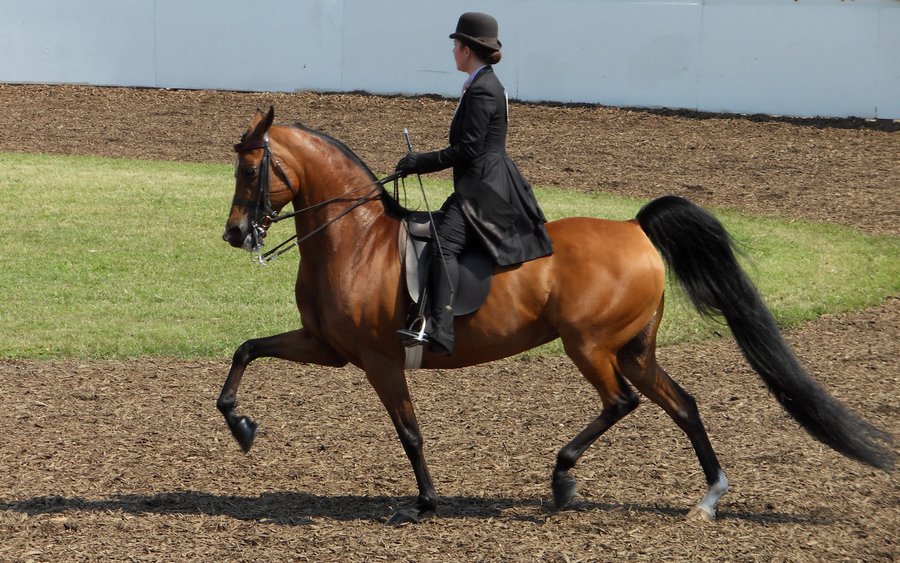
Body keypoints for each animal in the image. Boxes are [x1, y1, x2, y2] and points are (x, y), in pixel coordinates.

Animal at [218, 108, 892, 528]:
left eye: (250, 171)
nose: (233, 234)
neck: (355, 240)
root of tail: (634, 229)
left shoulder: (380, 360)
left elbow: (409, 431)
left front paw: (425, 503)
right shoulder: (327, 346)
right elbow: (247, 348)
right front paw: (242, 427)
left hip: (589, 346)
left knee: (622, 402)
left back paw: (563, 479)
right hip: (634, 349)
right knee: (682, 404)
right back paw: (708, 498)